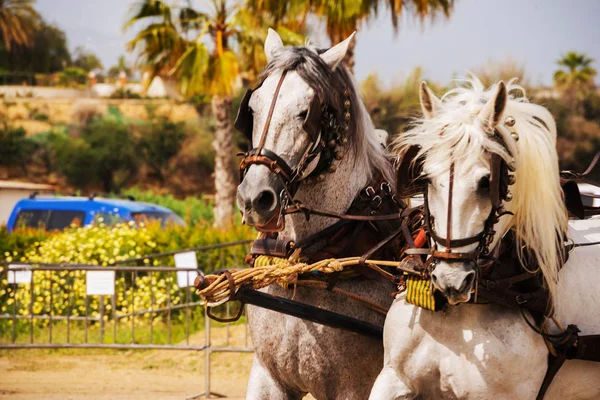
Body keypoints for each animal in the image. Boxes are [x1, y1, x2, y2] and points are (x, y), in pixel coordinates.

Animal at [236, 29, 398, 398]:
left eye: (305, 111)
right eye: (252, 107)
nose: (254, 197)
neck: (307, 264)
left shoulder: (354, 387)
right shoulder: (266, 374)